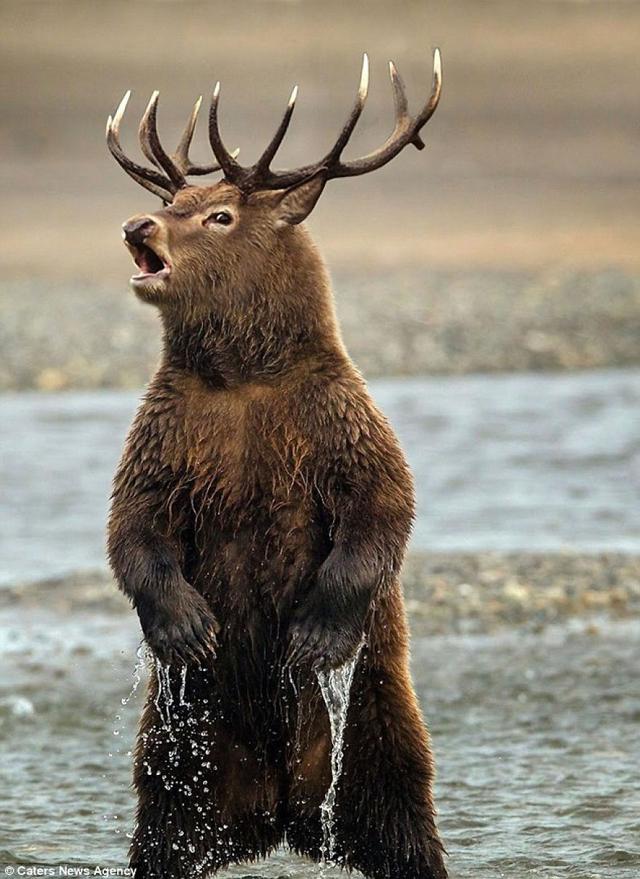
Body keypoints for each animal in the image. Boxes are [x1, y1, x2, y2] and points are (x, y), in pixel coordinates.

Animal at [106, 53, 444, 879]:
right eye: (171, 198)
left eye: (220, 215)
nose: (137, 224)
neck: (241, 376)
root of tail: (284, 812)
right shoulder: (174, 434)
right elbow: (134, 524)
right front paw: (188, 626)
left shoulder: (331, 424)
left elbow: (383, 505)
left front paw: (315, 635)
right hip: (184, 753)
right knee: (165, 829)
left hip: (373, 727)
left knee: (400, 819)